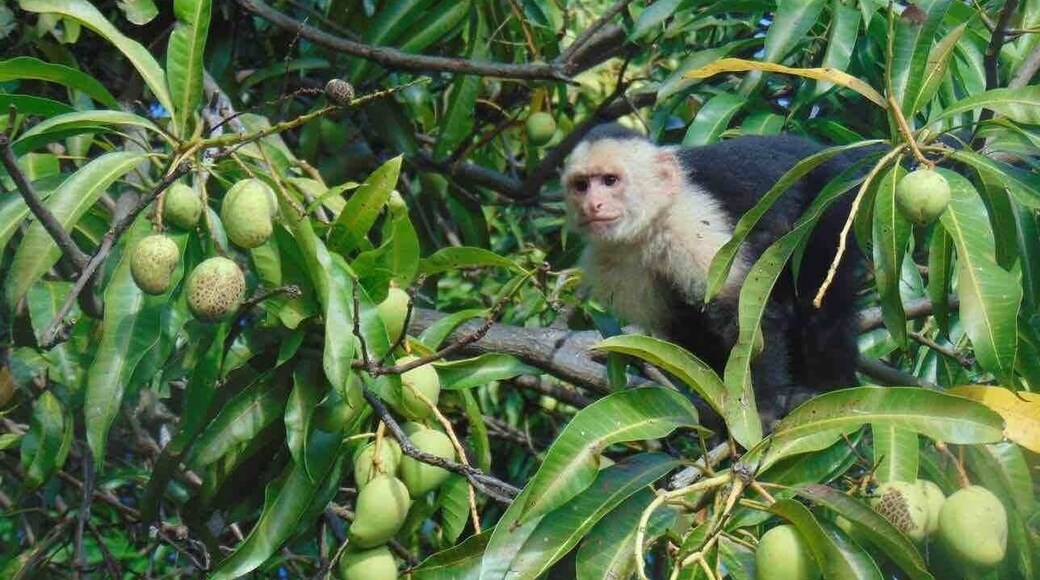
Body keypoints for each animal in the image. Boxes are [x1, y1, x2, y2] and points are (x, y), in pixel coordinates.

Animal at [561, 123, 863, 406]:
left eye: (610, 180)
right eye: (582, 186)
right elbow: (686, 330)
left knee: (820, 295)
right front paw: (720, 402)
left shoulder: (690, 220)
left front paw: (759, 408)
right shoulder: (610, 262)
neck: (648, 228)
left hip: (833, 196)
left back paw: (824, 385)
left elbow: (741, 317)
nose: (593, 204)